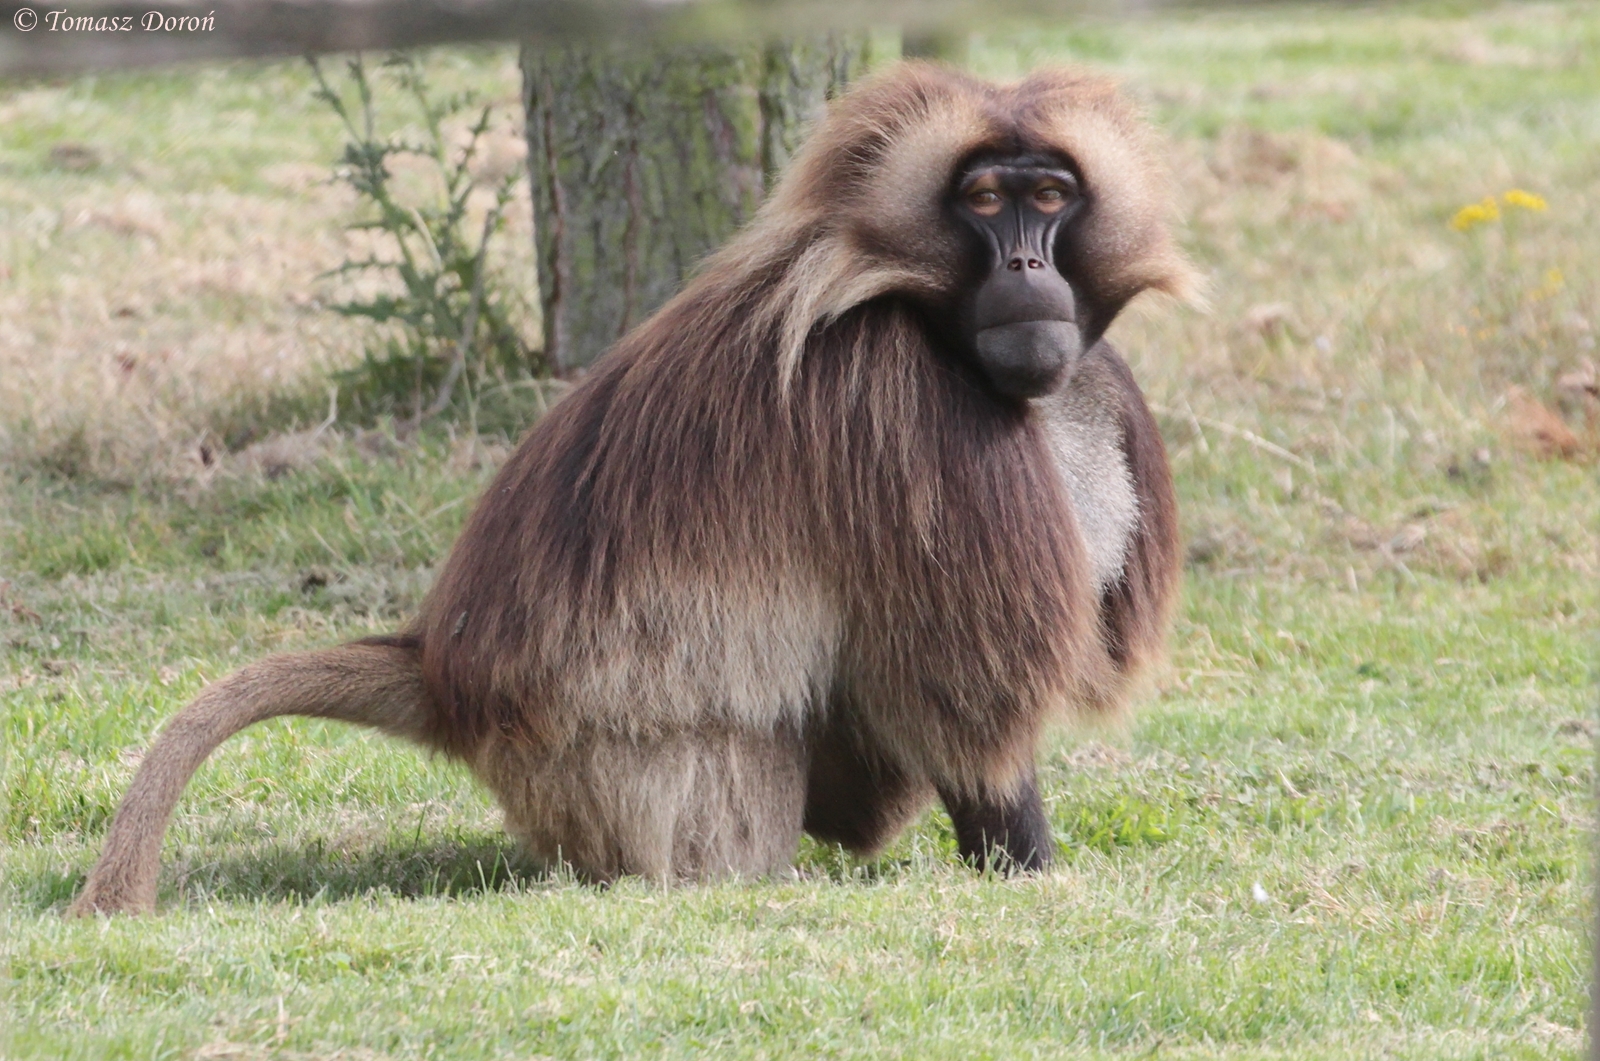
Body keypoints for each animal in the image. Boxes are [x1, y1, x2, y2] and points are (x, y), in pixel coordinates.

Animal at [68, 62, 1195, 916]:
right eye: (982, 200)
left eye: (1050, 197)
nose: (1026, 266)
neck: (907, 299)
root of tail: (444, 669)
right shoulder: (909, 404)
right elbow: (961, 693)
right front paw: (1027, 862)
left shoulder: (1095, 383)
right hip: (623, 772)